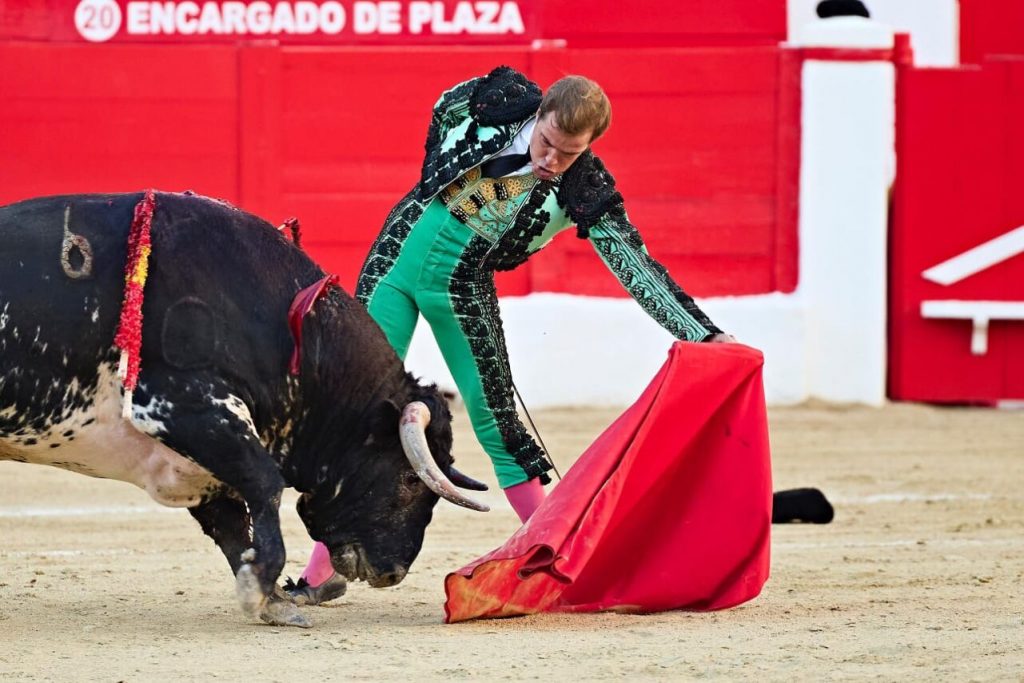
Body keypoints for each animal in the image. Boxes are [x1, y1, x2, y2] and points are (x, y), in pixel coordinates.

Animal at [0, 192, 487, 630]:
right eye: (410, 479)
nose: (393, 571)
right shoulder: (183, 406)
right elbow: (265, 482)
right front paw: (259, 587)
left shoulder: (199, 458)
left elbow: (233, 523)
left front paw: (272, 599)